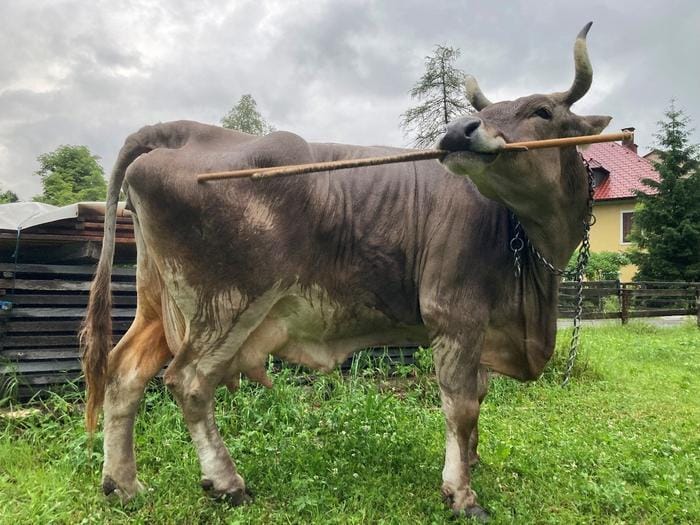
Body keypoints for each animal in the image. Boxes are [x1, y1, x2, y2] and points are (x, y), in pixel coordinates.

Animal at [81, 22, 611, 520]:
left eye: (541, 111)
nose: (459, 130)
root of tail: (183, 129)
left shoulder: (484, 326)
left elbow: (478, 398)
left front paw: (473, 462)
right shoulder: (454, 314)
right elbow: (460, 407)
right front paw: (461, 493)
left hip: (160, 304)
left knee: (124, 374)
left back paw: (123, 485)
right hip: (227, 305)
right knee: (188, 381)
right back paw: (226, 482)